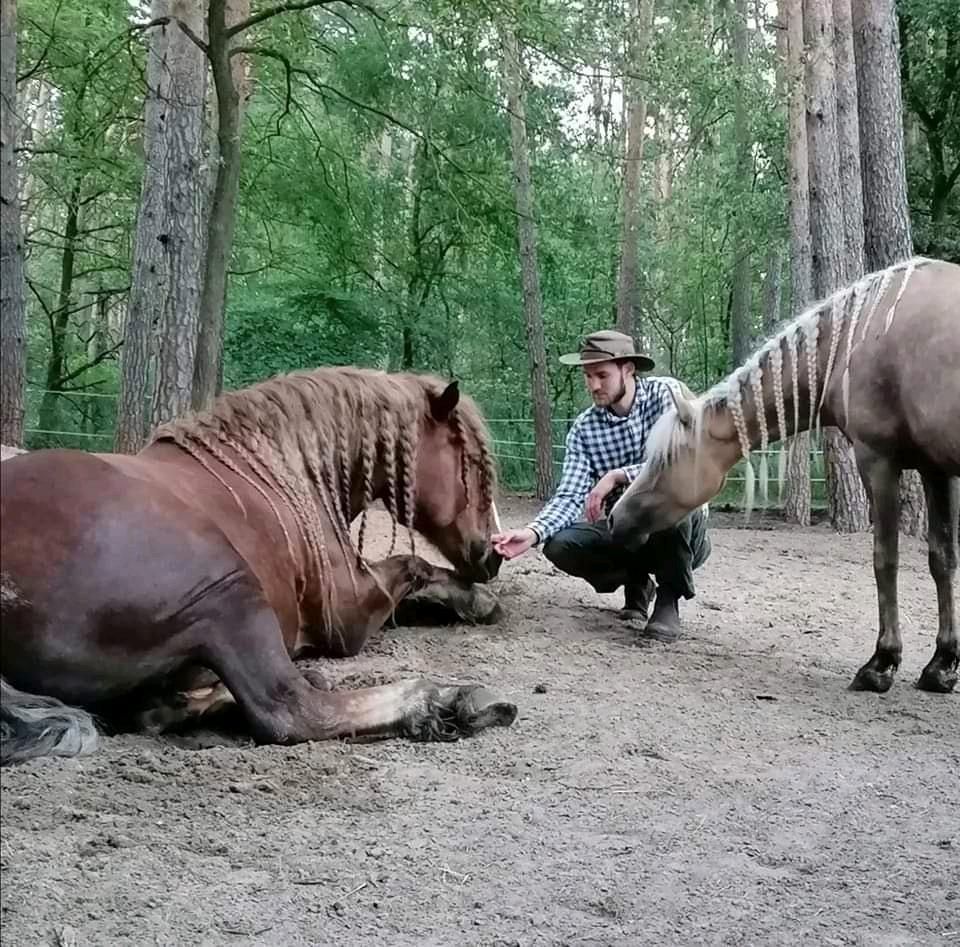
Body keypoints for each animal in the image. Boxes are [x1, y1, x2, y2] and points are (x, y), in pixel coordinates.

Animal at [1, 366, 516, 768]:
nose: (492, 553)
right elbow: (413, 565)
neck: (286, 469)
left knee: (158, 711)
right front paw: (475, 600)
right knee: (288, 709)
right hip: (230, 595)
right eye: (473, 462)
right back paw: (451, 700)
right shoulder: (347, 616)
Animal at [612, 260, 960, 696]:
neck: (859, 335)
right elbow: (942, 558)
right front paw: (941, 666)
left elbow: (886, 559)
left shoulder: (878, 461)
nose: (615, 516)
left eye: (664, 459)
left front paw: (881, 664)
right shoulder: (936, 469)